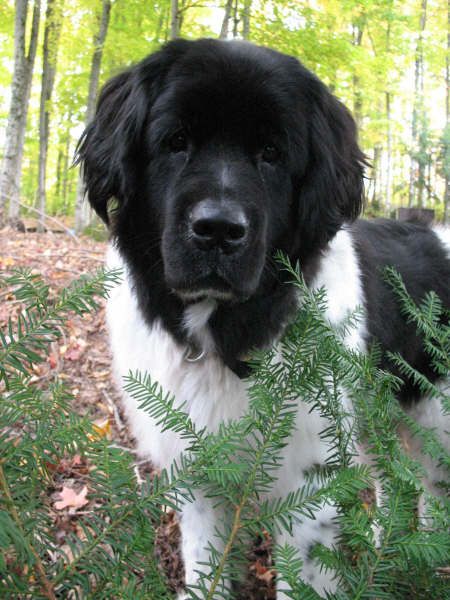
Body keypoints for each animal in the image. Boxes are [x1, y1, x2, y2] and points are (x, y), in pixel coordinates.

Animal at [78, 38, 450, 596]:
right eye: (176, 141)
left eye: (272, 154)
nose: (217, 229)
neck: (223, 336)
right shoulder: (196, 471)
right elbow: (204, 562)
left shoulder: (309, 478)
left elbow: (305, 574)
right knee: (399, 480)